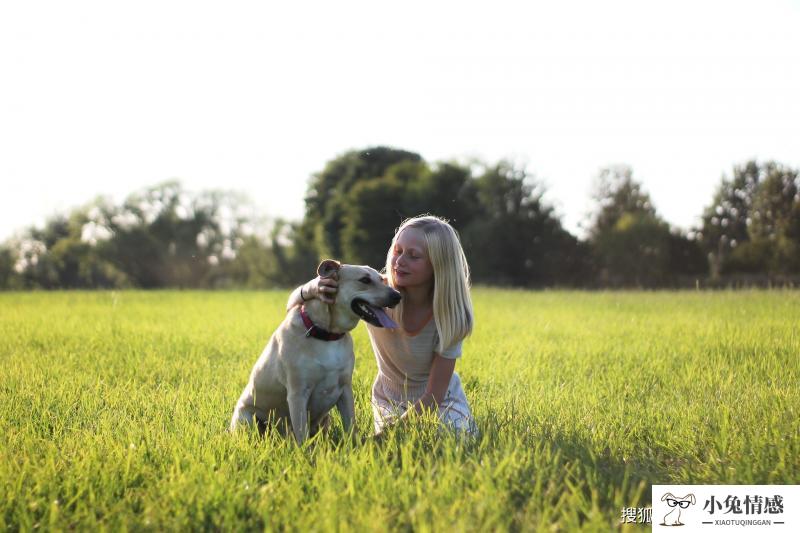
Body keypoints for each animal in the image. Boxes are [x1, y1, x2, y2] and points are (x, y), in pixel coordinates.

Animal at [230, 260, 400, 442]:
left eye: (382, 279)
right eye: (365, 280)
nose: (398, 296)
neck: (327, 334)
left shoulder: (345, 389)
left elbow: (350, 427)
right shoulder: (297, 394)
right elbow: (302, 436)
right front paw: (306, 450)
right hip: (247, 419)